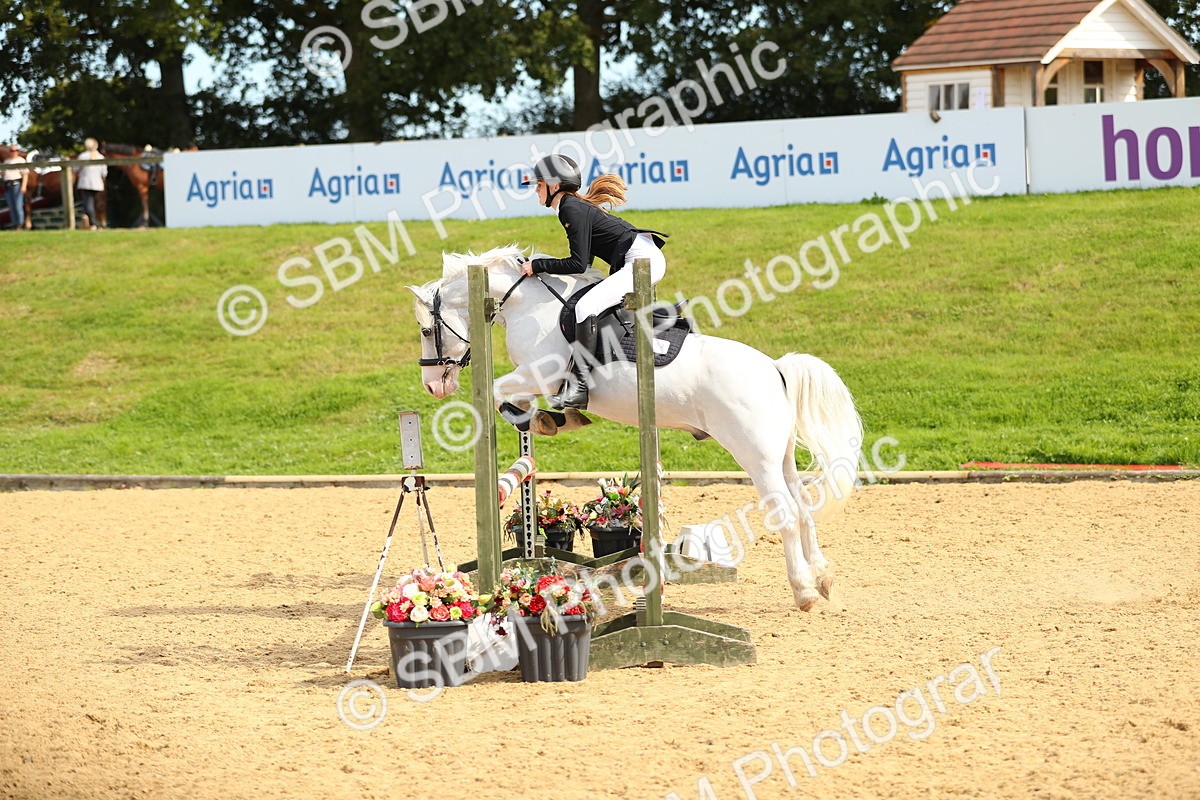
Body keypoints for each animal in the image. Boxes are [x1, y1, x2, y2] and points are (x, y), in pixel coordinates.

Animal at [408, 246, 864, 610]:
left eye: (427, 330)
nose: (432, 385)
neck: (528, 306)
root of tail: (774, 368)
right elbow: (512, 401)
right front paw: (548, 418)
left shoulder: (541, 375)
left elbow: (500, 391)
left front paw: (547, 417)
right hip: (779, 454)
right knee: (803, 507)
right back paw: (824, 579)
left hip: (755, 455)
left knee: (785, 512)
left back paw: (804, 592)